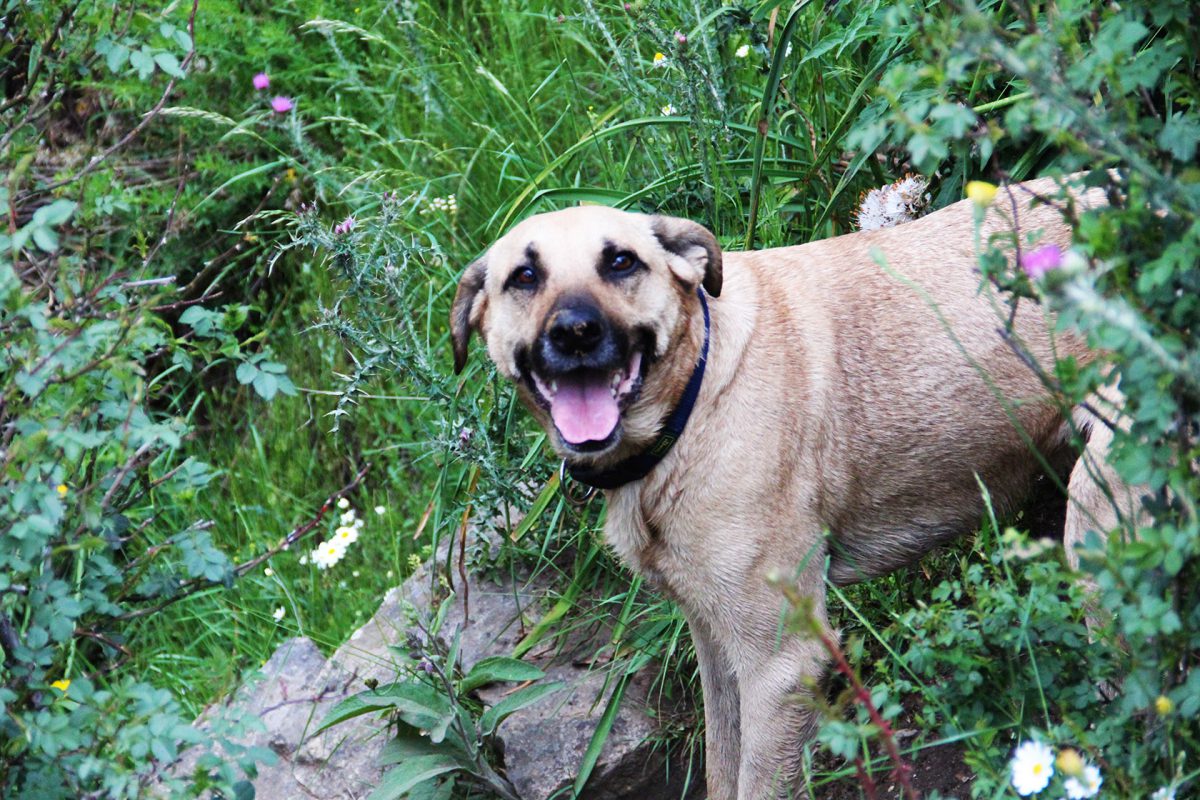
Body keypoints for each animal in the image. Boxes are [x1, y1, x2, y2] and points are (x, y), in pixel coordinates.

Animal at [451, 176, 1113, 800]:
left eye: (620, 262)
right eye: (524, 277)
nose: (576, 332)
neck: (696, 400)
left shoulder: (781, 666)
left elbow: (754, 782)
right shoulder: (716, 644)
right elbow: (720, 770)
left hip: (1099, 530)